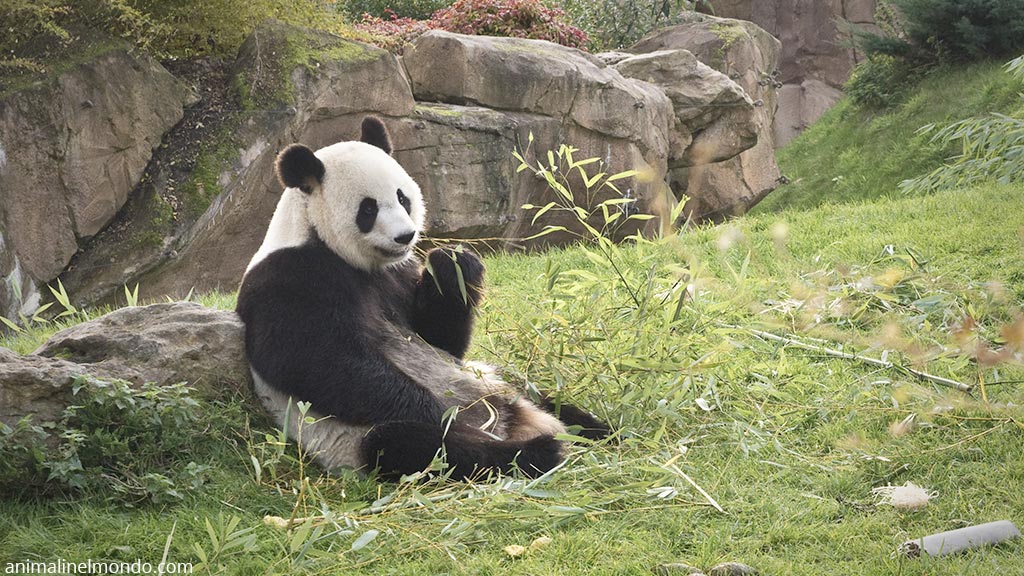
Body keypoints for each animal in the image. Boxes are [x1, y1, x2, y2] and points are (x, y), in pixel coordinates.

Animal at [236, 116, 608, 480]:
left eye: (403, 198)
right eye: (368, 209)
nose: (405, 236)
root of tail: (514, 422)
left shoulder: (398, 274)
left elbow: (440, 339)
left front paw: (453, 264)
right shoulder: (291, 278)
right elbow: (317, 361)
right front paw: (440, 413)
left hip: (495, 378)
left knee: (543, 397)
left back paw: (599, 431)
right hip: (357, 438)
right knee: (421, 447)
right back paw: (538, 451)